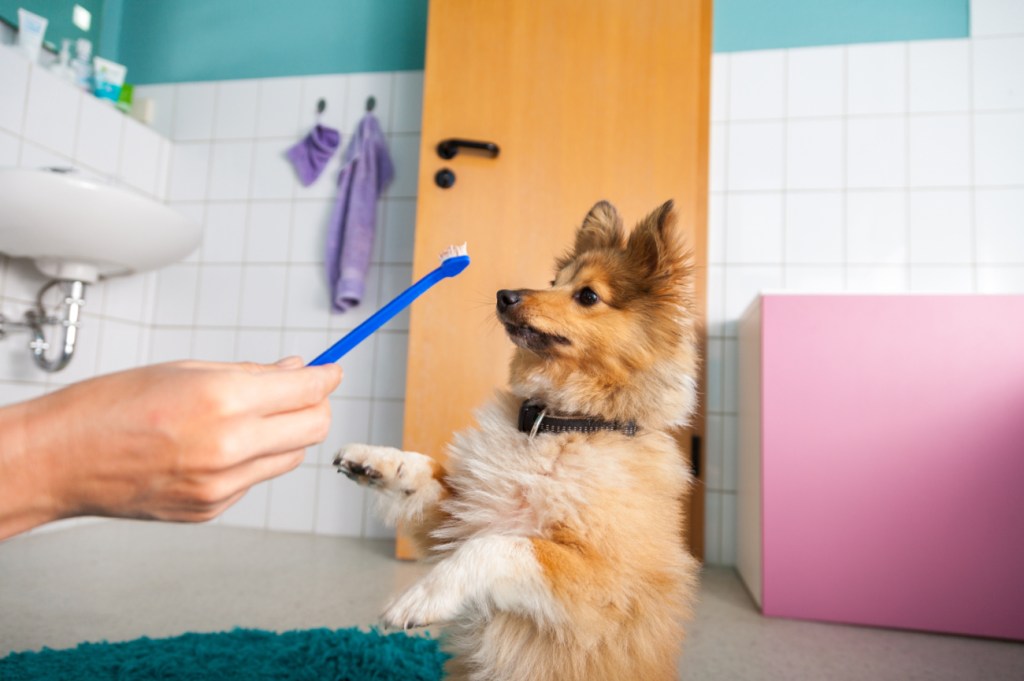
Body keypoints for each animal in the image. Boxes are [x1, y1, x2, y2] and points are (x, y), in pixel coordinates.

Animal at [333, 199, 696, 675]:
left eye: (587, 295)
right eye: (554, 282)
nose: (504, 295)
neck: (560, 424)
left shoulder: (607, 586)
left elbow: (499, 545)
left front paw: (421, 597)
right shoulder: (461, 515)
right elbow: (425, 474)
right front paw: (373, 460)